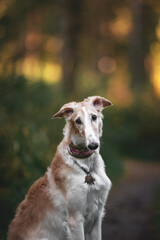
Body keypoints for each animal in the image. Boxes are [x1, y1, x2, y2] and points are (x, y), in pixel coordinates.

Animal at [7, 96, 112, 240]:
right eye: (78, 121)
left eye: (94, 117)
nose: (93, 145)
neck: (86, 167)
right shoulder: (75, 219)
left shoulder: (97, 216)